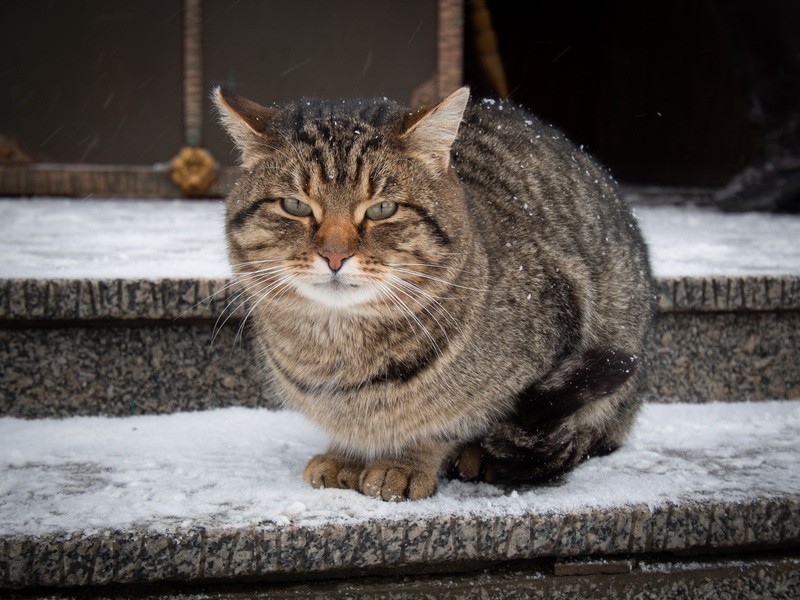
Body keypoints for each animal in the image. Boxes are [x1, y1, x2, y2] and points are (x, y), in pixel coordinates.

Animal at [214, 85, 656, 502]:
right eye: (295, 205)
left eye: (383, 209)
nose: (334, 255)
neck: (339, 354)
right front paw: (346, 455)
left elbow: (442, 423)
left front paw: (406, 463)